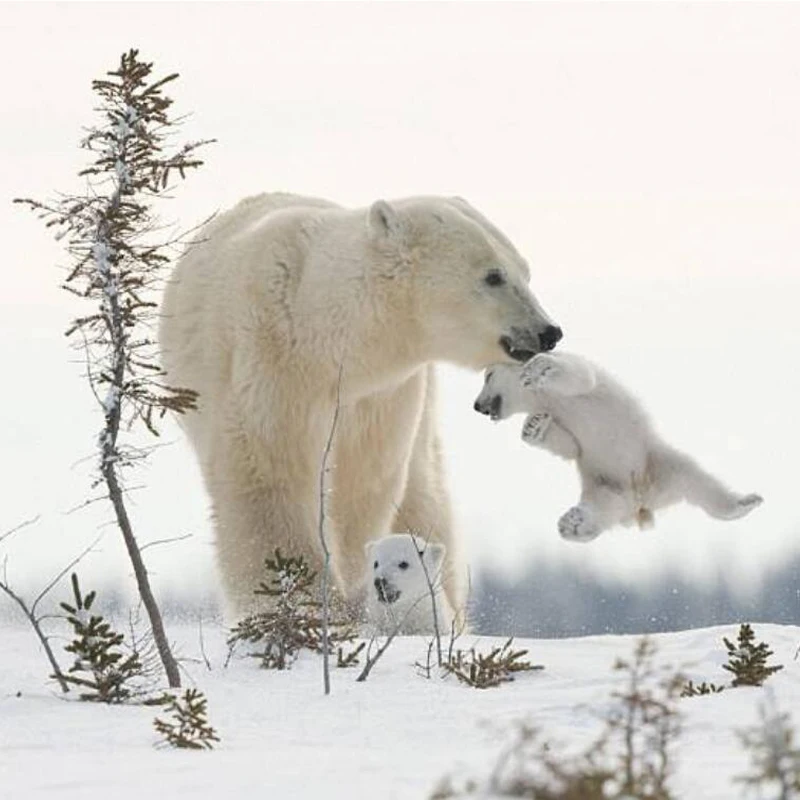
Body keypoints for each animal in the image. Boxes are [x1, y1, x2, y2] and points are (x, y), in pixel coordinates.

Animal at [159, 192, 561, 615]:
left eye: (525, 271)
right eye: (493, 275)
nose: (548, 332)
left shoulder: (381, 396)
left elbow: (362, 487)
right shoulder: (271, 364)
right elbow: (272, 478)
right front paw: (310, 600)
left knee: (425, 498)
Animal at [473, 350, 763, 542]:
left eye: (488, 376)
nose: (477, 405)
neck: (541, 399)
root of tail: (642, 502)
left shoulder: (572, 382)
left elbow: (580, 377)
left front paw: (537, 370)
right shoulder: (555, 413)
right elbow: (572, 447)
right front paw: (533, 427)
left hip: (656, 461)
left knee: (698, 480)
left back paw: (744, 504)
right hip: (604, 483)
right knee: (602, 509)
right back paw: (573, 525)